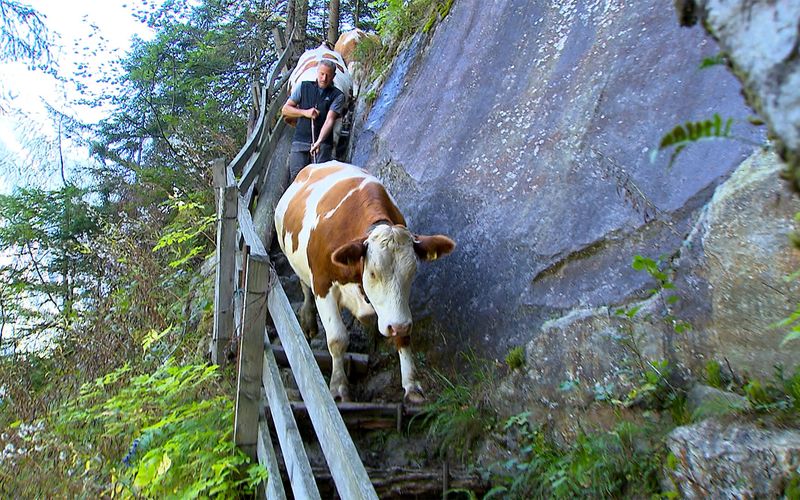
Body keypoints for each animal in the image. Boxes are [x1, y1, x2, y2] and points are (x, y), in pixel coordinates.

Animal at [276, 162, 454, 404]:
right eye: (372, 273)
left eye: (412, 272)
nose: (398, 325)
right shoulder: (323, 284)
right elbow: (337, 339)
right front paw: (338, 387)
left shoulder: (397, 308)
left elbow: (403, 338)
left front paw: (411, 385)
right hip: (293, 258)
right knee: (304, 288)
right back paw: (309, 320)